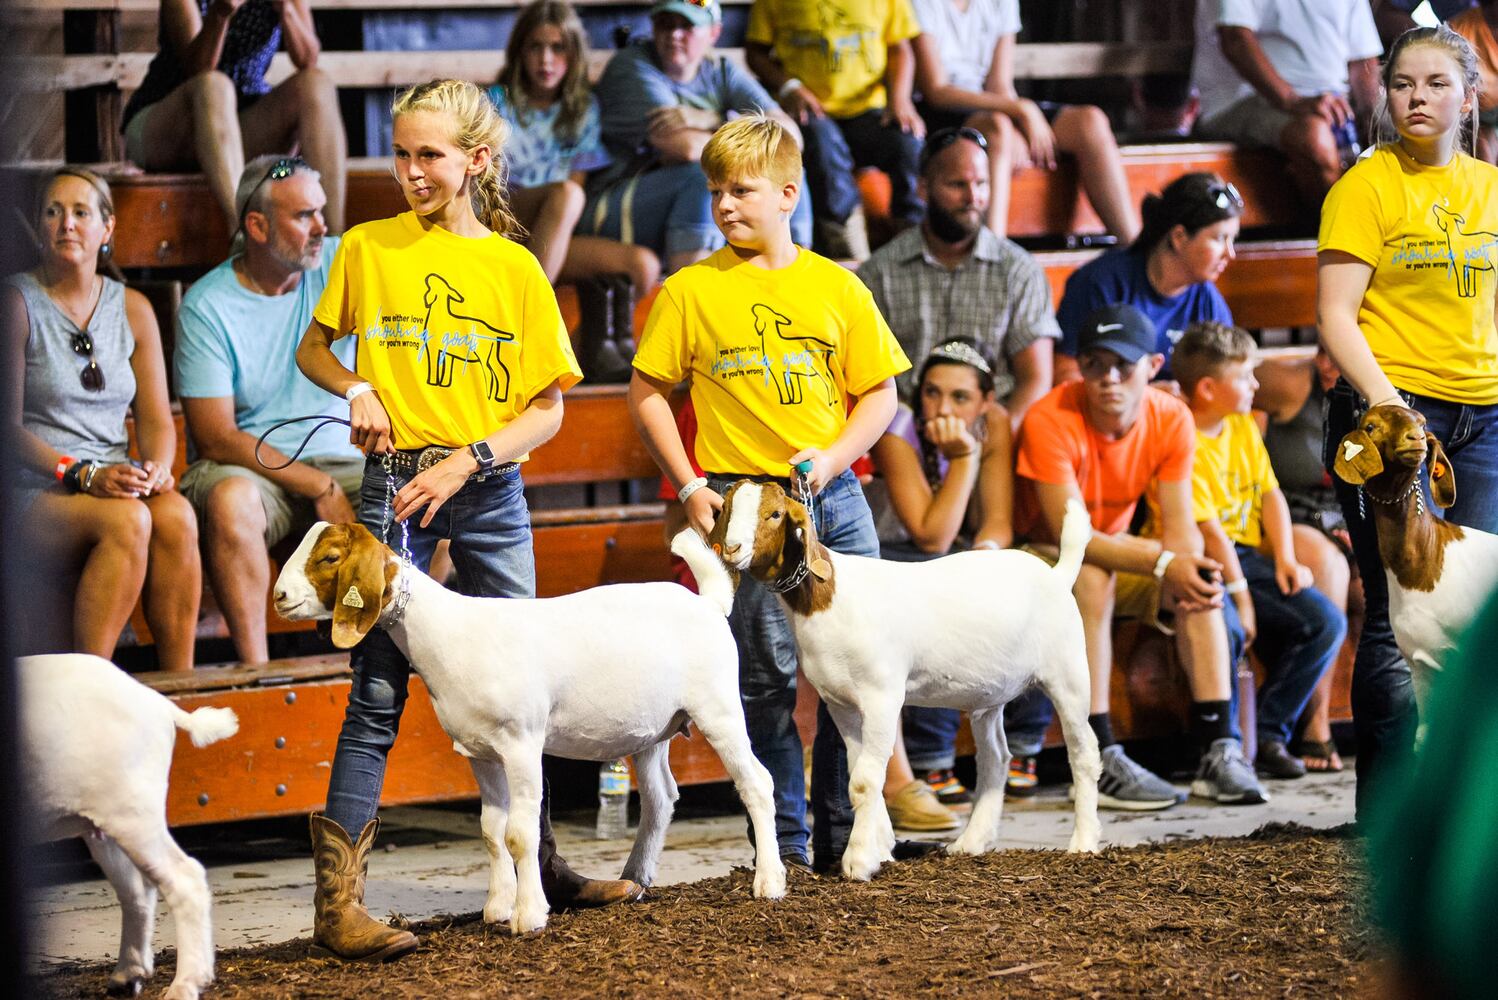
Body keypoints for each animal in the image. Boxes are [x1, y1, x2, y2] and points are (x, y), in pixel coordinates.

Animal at [20, 652, 238, 994]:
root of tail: (157, 702)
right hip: (105, 825)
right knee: (136, 891)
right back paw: (128, 975)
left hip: (133, 812)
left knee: (184, 879)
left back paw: (184, 985)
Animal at [275, 523, 784, 940]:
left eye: (330, 557)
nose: (279, 596)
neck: (449, 632)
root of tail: (708, 603)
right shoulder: (479, 752)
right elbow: (491, 831)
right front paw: (497, 907)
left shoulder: (520, 742)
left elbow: (520, 833)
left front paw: (529, 915)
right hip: (653, 730)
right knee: (661, 798)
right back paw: (636, 878)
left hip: (718, 707)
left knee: (757, 783)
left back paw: (770, 881)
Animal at [707, 479, 1108, 880]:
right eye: (725, 507)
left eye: (775, 514)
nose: (732, 548)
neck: (829, 598)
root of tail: (1057, 574)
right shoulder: (840, 704)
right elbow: (858, 774)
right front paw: (881, 848)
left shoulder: (882, 696)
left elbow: (866, 779)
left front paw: (858, 860)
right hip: (990, 694)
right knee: (995, 756)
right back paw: (971, 841)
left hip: (1068, 671)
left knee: (1084, 751)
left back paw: (1083, 841)